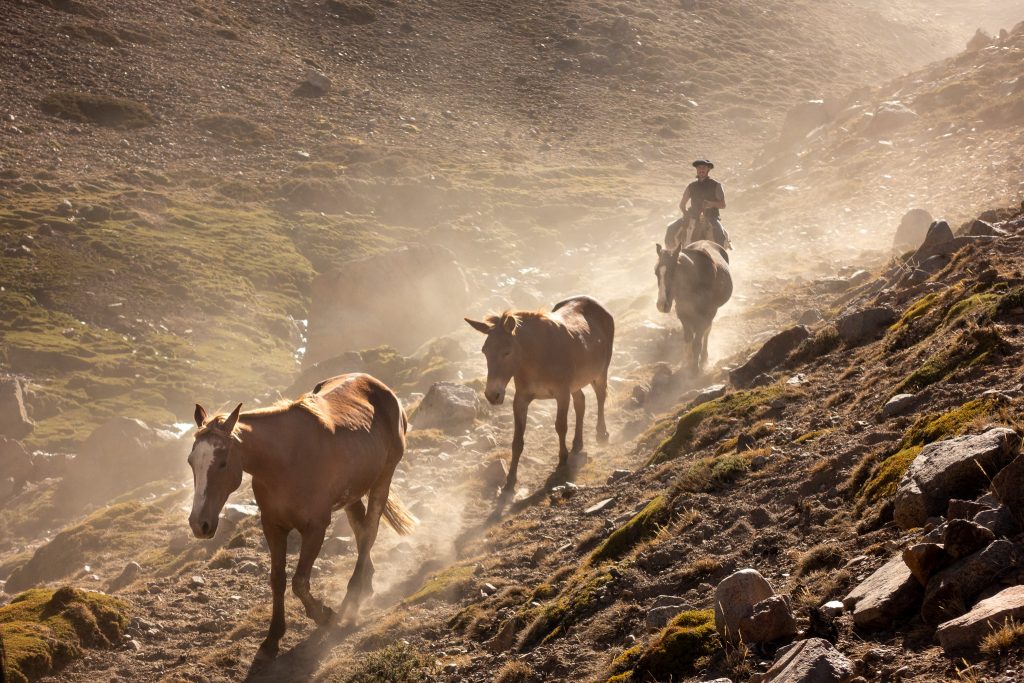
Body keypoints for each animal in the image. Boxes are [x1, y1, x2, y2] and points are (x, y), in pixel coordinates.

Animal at [188, 370, 415, 659]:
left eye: (223, 462)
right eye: (191, 462)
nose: (199, 524)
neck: (285, 461)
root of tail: (378, 385)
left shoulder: (315, 528)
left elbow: (299, 582)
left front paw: (325, 615)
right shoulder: (272, 525)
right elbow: (278, 579)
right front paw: (273, 637)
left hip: (382, 480)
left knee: (369, 532)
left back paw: (352, 600)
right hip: (352, 495)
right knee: (361, 529)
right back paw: (366, 584)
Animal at [464, 294, 614, 497]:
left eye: (507, 352)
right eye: (485, 351)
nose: (492, 395)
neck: (536, 357)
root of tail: (592, 301)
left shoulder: (562, 393)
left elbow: (561, 426)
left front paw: (562, 461)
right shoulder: (521, 400)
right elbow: (517, 441)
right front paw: (509, 482)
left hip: (601, 371)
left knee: (600, 396)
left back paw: (601, 434)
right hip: (576, 383)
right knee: (581, 402)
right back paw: (577, 444)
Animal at [651, 237, 733, 370]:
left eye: (673, 272)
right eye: (656, 272)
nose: (661, 305)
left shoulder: (705, 316)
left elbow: (697, 342)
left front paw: (694, 368)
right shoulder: (683, 313)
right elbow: (688, 338)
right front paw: (688, 360)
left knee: (707, 332)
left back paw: (704, 357)